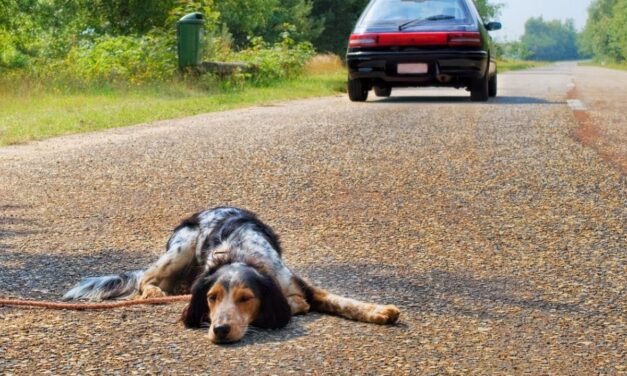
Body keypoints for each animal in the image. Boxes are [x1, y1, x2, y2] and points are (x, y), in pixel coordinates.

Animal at [65, 207, 402, 342]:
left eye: (246, 299)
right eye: (211, 299)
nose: (220, 330)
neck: (240, 255)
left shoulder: (297, 283)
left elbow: (340, 300)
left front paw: (378, 311)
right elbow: (298, 305)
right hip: (183, 245)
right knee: (146, 280)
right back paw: (154, 292)